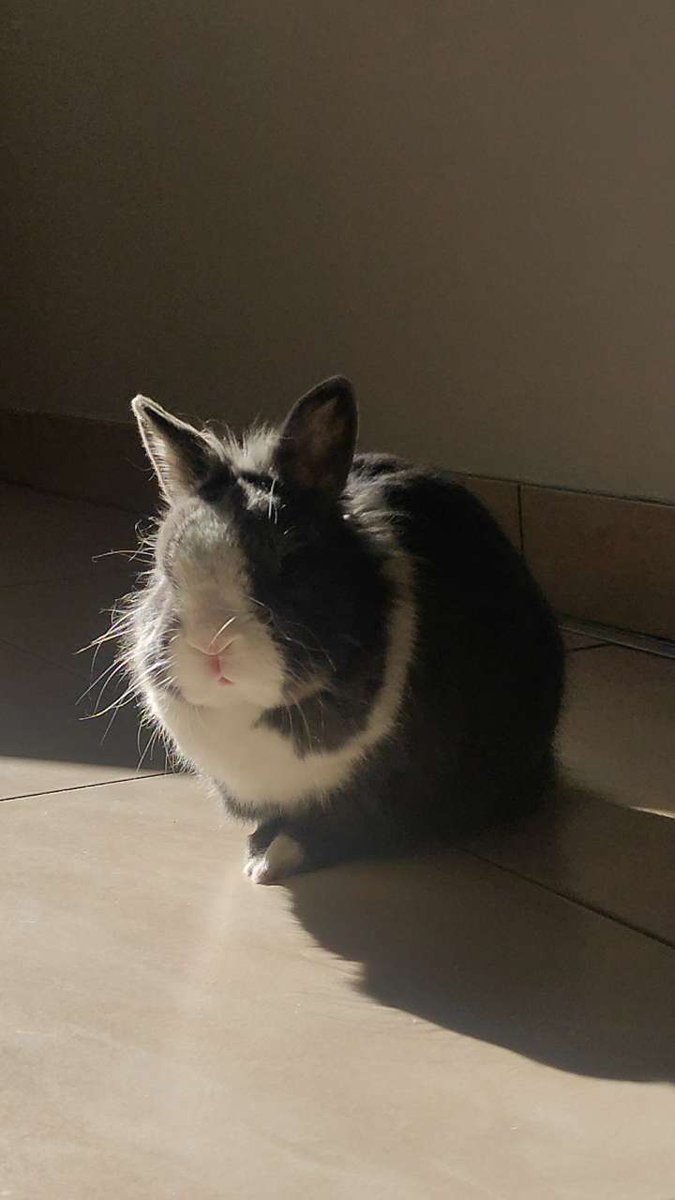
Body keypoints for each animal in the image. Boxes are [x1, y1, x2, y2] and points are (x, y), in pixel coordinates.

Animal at [122, 376, 564, 883]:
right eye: (167, 569)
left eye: (290, 563)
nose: (211, 644)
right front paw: (257, 851)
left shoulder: (379, 793)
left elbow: (333, 828)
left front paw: (268, 863)